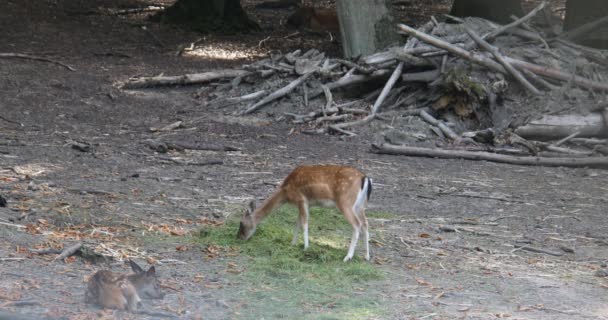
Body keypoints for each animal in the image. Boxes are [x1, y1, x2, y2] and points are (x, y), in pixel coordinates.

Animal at [236, 165, 370, 262]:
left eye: (241, 223)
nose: (239, 238)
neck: (285, 192)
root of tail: (365, 178)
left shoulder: (301, 199)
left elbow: (304, 223)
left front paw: (306, 248)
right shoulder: (306, 204)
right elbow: (298, 222)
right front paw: (293, 243)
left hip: (345, 202)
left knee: (357, 224)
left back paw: (348, 257)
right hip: (360, 206)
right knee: (365, 223)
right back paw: (366, 256)